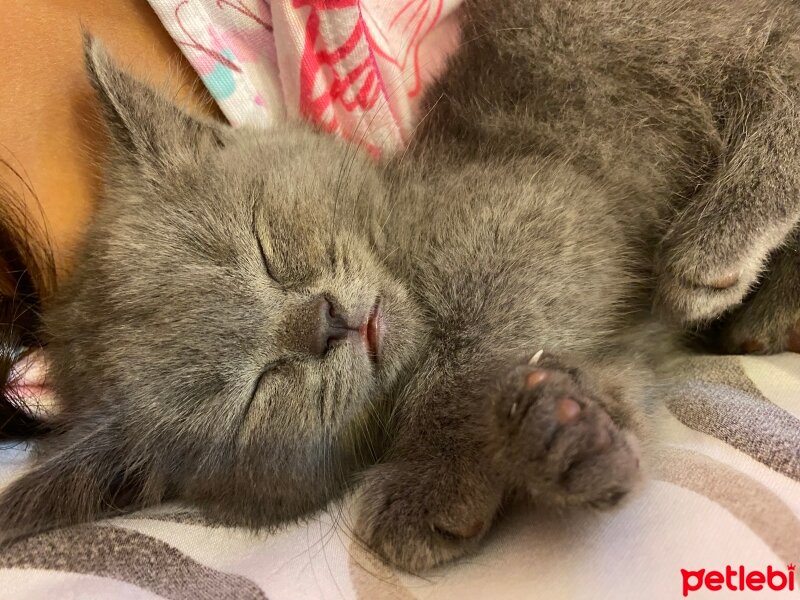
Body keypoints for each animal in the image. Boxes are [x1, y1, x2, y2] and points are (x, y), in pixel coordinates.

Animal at [1, 0, 800, 572]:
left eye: (266, 247)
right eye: (255, 393)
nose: (325, 321)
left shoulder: (549, 216)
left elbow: (469, 359)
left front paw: (437, 479)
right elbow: (616, 389)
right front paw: (568, 443)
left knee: (779, 62)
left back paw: (716, 246)